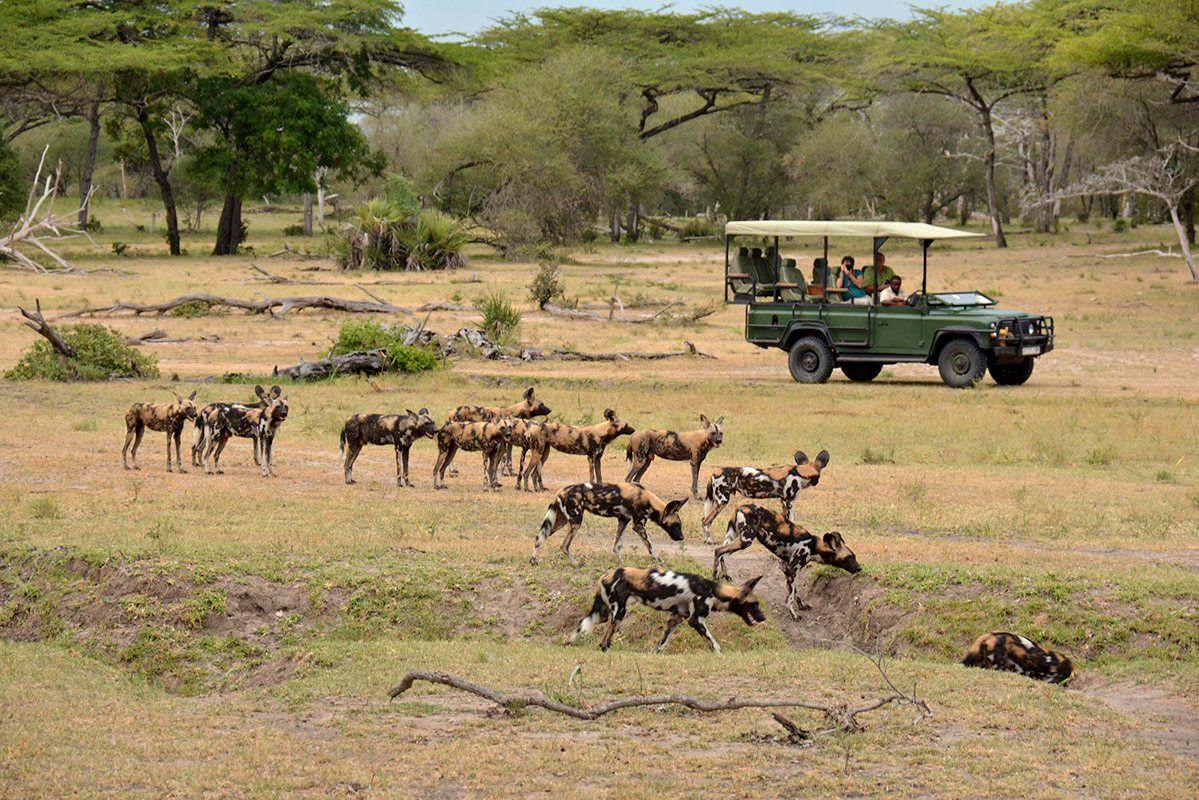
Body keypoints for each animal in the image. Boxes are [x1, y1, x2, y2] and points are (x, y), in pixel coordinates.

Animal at [532, 479, 690, 566]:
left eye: (680, 525)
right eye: (675, 525)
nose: (682, 537)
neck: (648, 500)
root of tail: (560, 491)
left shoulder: (623, 520)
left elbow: (617, 546)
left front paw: (621, 563)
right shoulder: (638, 526)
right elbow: (651, 548)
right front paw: (660, 562)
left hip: (560, 522)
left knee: (540, 538)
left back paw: (534, 560)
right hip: (576, 522)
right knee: (564, 545)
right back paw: (576, 564)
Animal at [565, 566, 762, 652]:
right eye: (754, 605)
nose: (763, 618)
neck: (714, 591)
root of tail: (607, 574)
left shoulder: (675, 619)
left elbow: (661, 644)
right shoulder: (695, 621)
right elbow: (714, 644)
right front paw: (719, 653)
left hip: (604, 614)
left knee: (583, 623)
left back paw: (569, 643)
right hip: (618, 613)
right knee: (604, 641)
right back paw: (605, 649)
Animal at [700, 450, 829, 544]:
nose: (817, 482)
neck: (801, 471)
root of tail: (715, 472)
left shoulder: (783, 502)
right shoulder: (788, 503)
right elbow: (791, 522)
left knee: (705, 520)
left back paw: (706, 540)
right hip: (722, 501)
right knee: (706, 521)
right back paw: (709, 541)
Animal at [709, 503, 863, 623]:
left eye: (854, 556)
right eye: (849, 557)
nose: (860, 568)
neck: (813, 546)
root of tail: (740, 506)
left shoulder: (788, 569)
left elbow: (795, 592)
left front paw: (802, 606)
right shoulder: (791, 570)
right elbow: (790, 597)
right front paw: (794, 615)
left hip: (738, 538)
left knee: (722, 553)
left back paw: (725, 576)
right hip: (745, 540)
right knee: (718, 550)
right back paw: (715, 576)